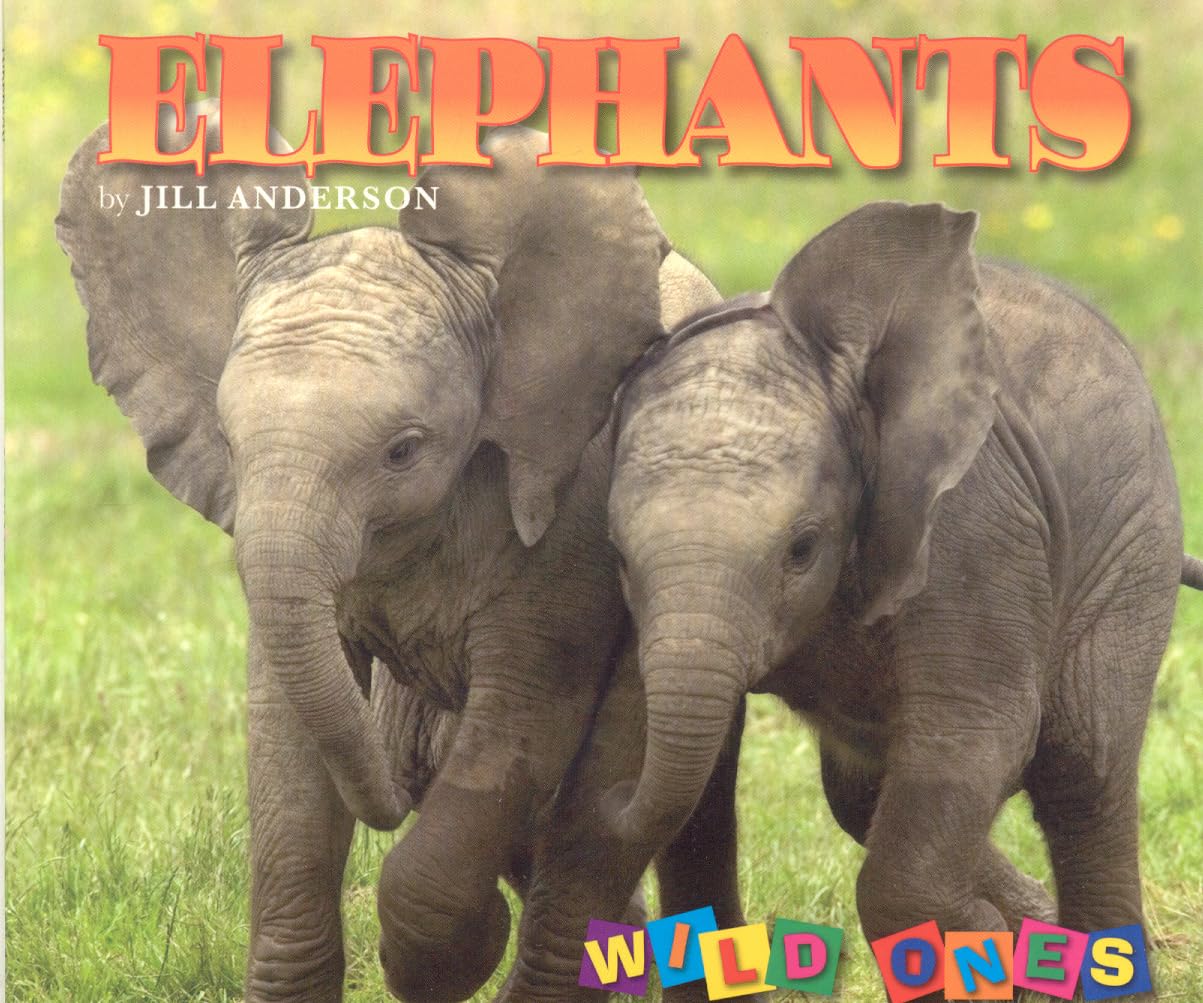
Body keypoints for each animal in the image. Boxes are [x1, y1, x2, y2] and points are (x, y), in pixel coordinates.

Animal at [56, 102, 748, 1002]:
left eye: (403, 451)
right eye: (231, 445)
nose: (381, 795)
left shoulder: (572, 504)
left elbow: (520, 717)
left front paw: (443, 958)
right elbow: (286, 742)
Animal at [605, 201, 1201, 987]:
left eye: (802, 549)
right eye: (616, 556)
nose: (608, 802)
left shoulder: (974, 523)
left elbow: (976, 732)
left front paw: (985, 937)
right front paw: (996, 930)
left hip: (1131, 548)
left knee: (1082, 773)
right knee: (863, 791)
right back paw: (1031, 919)